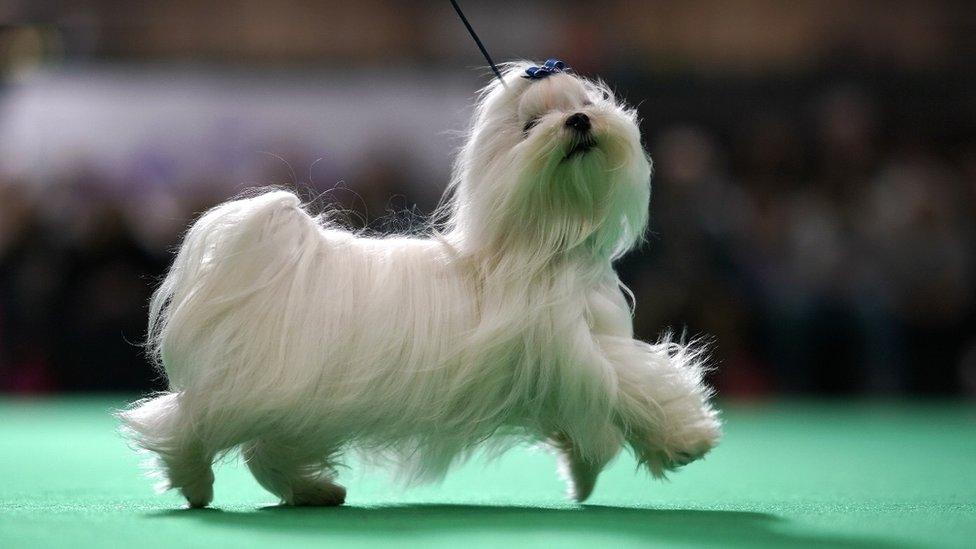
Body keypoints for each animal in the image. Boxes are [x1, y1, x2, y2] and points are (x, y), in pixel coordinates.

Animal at [118, 58, 720, 506]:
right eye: (529, 127)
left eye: (586, 104)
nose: (576, 122)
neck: (543, 245)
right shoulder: (574, 353)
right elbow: (637, 381)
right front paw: (687, 438)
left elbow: (589, 424)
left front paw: (584, 473)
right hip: (258, 387)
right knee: (188, 421)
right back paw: (194, 482)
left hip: (304, 402)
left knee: (268, 452)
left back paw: (313, 490)